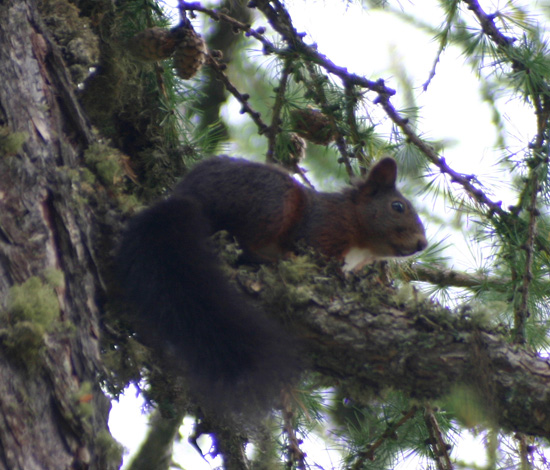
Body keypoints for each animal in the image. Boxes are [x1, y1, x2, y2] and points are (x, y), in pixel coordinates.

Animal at [115, 155, 426, 414]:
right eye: (398, 207)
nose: (422, 244)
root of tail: (187, 196)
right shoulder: (322, 230)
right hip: (272, 203)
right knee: (242, 243)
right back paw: (270, 259)